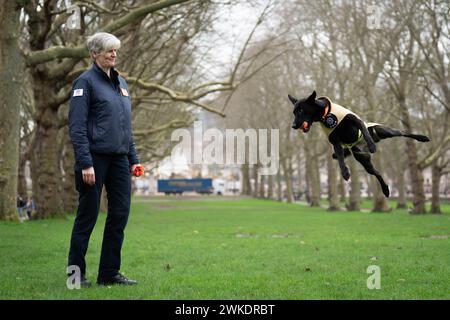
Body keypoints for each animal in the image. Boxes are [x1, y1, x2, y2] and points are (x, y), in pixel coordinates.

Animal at [288, 90, 428, 198]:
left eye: (301, 110)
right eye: (294, 112)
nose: (293, 126)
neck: (326, 114)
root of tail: (360, 146)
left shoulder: (355, 120)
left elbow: (364, 130)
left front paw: (371, 145)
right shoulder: (335, 142)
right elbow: (340, 159)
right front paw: (345, 172)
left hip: (383, 131)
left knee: (401, 132)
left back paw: (422, 137)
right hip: (364, 161)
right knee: (377, 173)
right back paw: (385, 189)